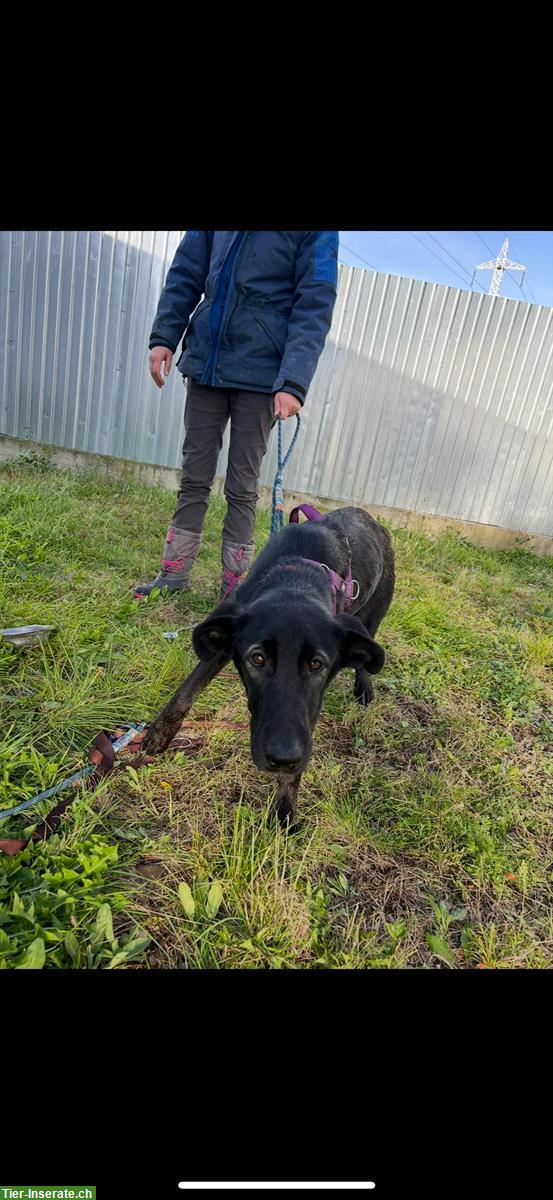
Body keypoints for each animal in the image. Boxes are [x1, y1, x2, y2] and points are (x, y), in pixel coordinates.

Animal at [142, 506, 393, 825]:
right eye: (257, 658)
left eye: (316, 664)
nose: (283, 758)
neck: (296, 580)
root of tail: (369, 517)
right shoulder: (224, 638)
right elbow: (186, 691)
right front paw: (159, 734)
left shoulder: (311, 705)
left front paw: (285, 806)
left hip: (372, 618)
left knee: (366, 657)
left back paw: (364, 689)